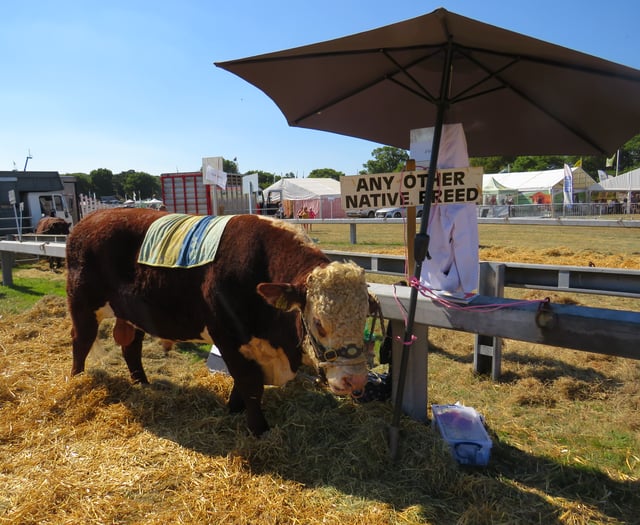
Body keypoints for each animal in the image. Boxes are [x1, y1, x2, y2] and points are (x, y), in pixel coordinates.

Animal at [64, 208, 372, 434]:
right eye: (319, 323)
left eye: (364, 319)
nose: (355, 380)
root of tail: (90, 218)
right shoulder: (227, 335)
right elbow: (249, 382)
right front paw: (258, 429)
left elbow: (244, 383)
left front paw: (234, 408)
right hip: (82, 305)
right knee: (81, 341)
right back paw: (77, 380)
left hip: (133, 314)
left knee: (131, 348)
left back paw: (142, 383)